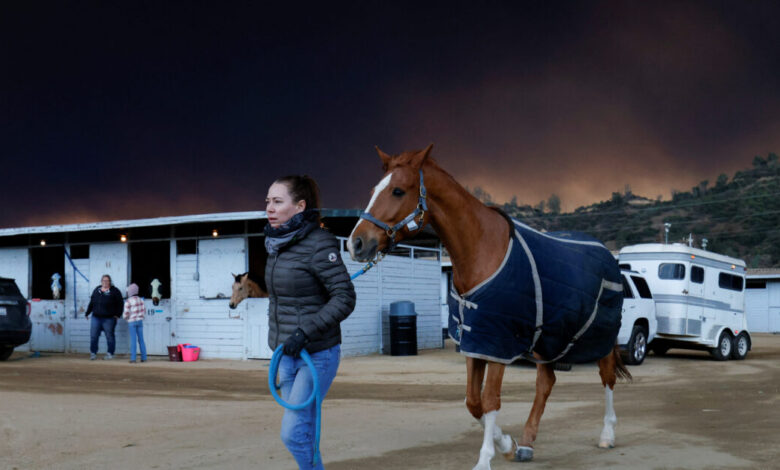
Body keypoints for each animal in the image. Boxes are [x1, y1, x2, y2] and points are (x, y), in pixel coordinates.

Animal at [350, 145, 632, 468]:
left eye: (397, 191)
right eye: (373, 190)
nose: (356, 243)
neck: (481, 249)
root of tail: (609, 256)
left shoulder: (498, 341)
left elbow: (489, 400)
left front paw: (485, 458)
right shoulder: (476, 340)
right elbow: (473, 402)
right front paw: (508, 444)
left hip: (600, 335)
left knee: (607, 376)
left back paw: (607, 434)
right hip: (549, 337)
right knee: (546, 381)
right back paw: (527, 442)